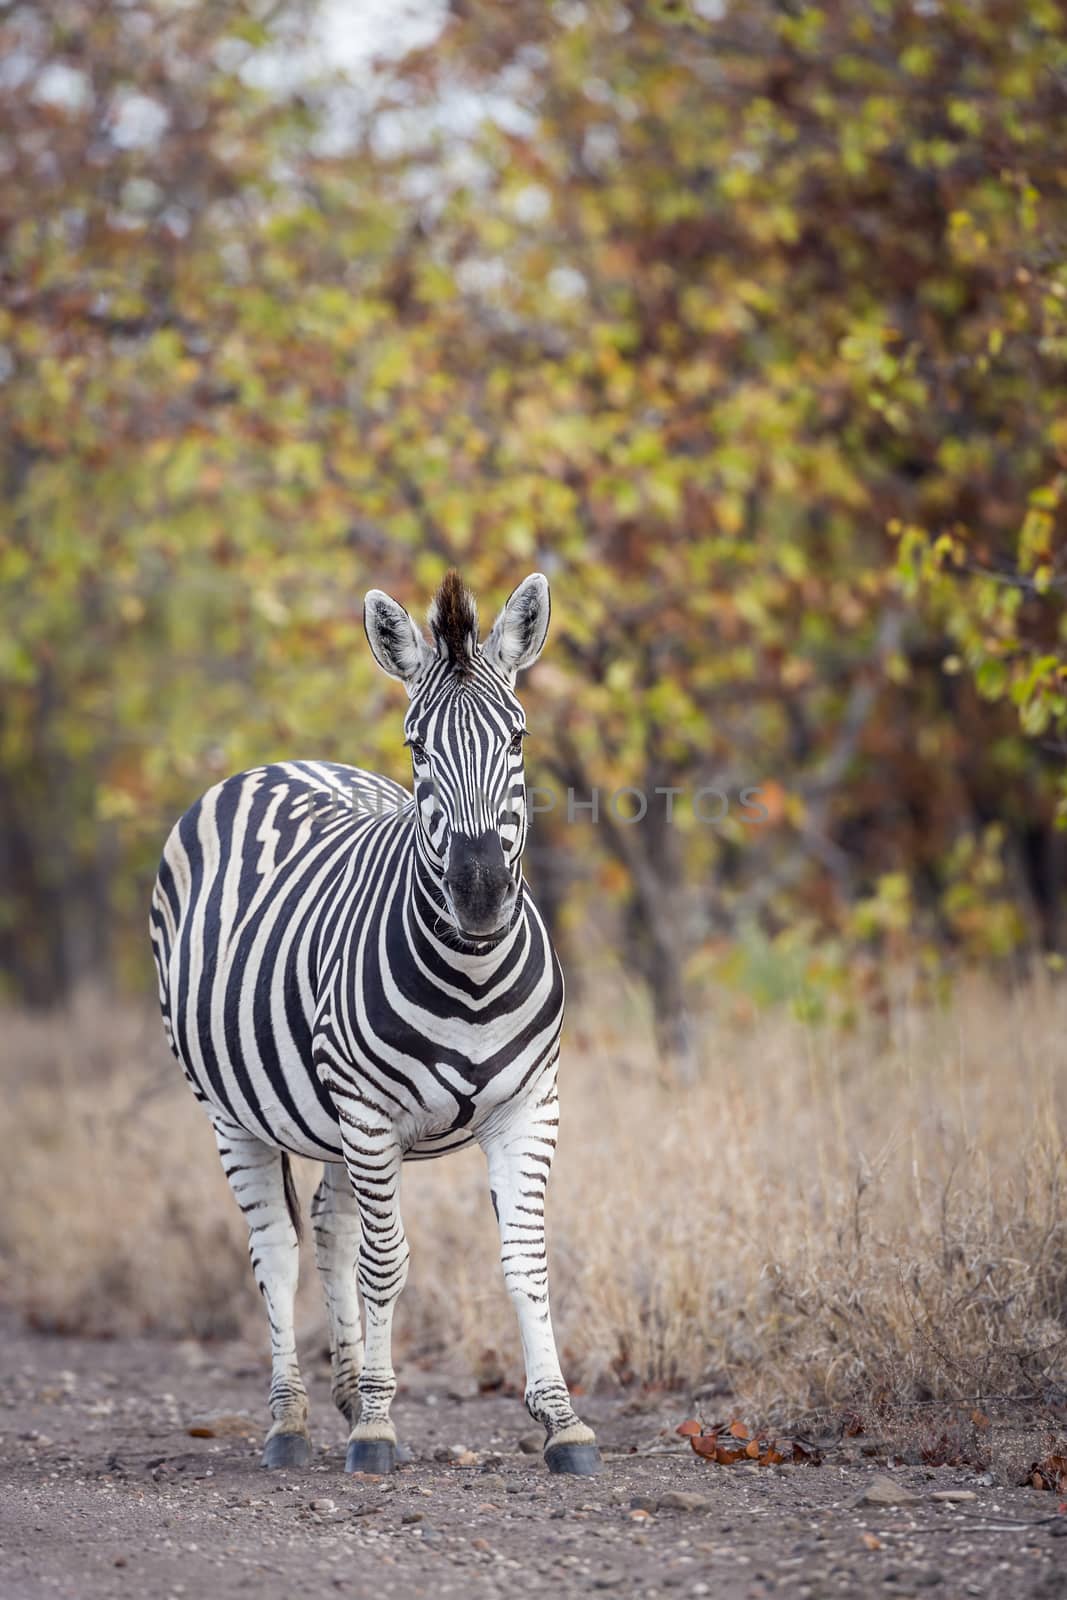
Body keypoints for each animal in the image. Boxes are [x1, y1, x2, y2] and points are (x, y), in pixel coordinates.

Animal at [149, 572, 601, 1472]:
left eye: (519, 738)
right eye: (417, 747)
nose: (479, 894)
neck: (472, 976)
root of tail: (276, 764)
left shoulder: (529, 1108)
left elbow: (524, 1262)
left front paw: (560, 1421)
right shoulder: (366, 1110)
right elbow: (385, 1262)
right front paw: (381, 1430)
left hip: (327, 1119)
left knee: (327, 1229)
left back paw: (351, 1391)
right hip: (234, 1112)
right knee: (278, 1250)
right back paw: (292, 1421)